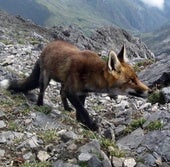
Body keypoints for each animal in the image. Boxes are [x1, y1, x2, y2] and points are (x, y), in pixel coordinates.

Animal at [0, 40, 149, 130]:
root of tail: (48, 45)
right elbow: (84, 110)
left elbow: (80, 109)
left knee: (61, 92)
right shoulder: (72, 92)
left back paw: (66, 108)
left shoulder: (82, 93)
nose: (150, 91)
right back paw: (40, 104)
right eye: (131, 80)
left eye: (136, 78)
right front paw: (91, 125)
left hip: (63, 83)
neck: (90, 74)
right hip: (45, 79)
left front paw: (81, 122)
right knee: (42, 92)